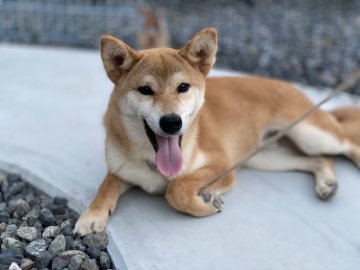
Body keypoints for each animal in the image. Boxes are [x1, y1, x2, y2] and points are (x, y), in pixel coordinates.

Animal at [74, 26, 360, 234]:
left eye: (183, 87)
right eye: (145, 90)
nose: (171, 122)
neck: (155, 164)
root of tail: (289, 85)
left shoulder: (223, 165)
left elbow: (175, 189)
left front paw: (205, 200)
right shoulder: (120, 169)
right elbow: (106, 187)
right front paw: (92, 215)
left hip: (311, 134)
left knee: (346, 144)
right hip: (267, 158)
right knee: (319, 159)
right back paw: (326, 183)